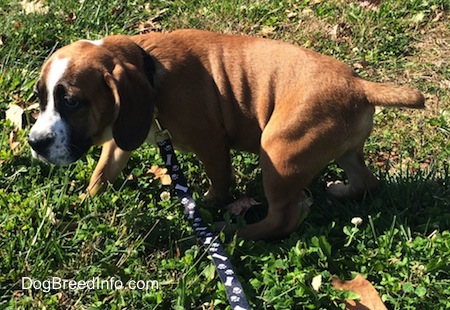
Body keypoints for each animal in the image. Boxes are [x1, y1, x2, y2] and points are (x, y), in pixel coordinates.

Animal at [29, 29, 426, 240]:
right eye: (41, 97)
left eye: (72, 102)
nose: (35, 142)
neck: (149, 68)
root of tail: (360, 86)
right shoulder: (119, 136)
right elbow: (103, 172)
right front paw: (87, 201)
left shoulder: (211, 143)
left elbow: (220, 181)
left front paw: (208, 205)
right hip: (343, 149)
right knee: (366, 181)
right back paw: (342, 191)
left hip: (278, 150)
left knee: (282, 219)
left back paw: (233, 230)